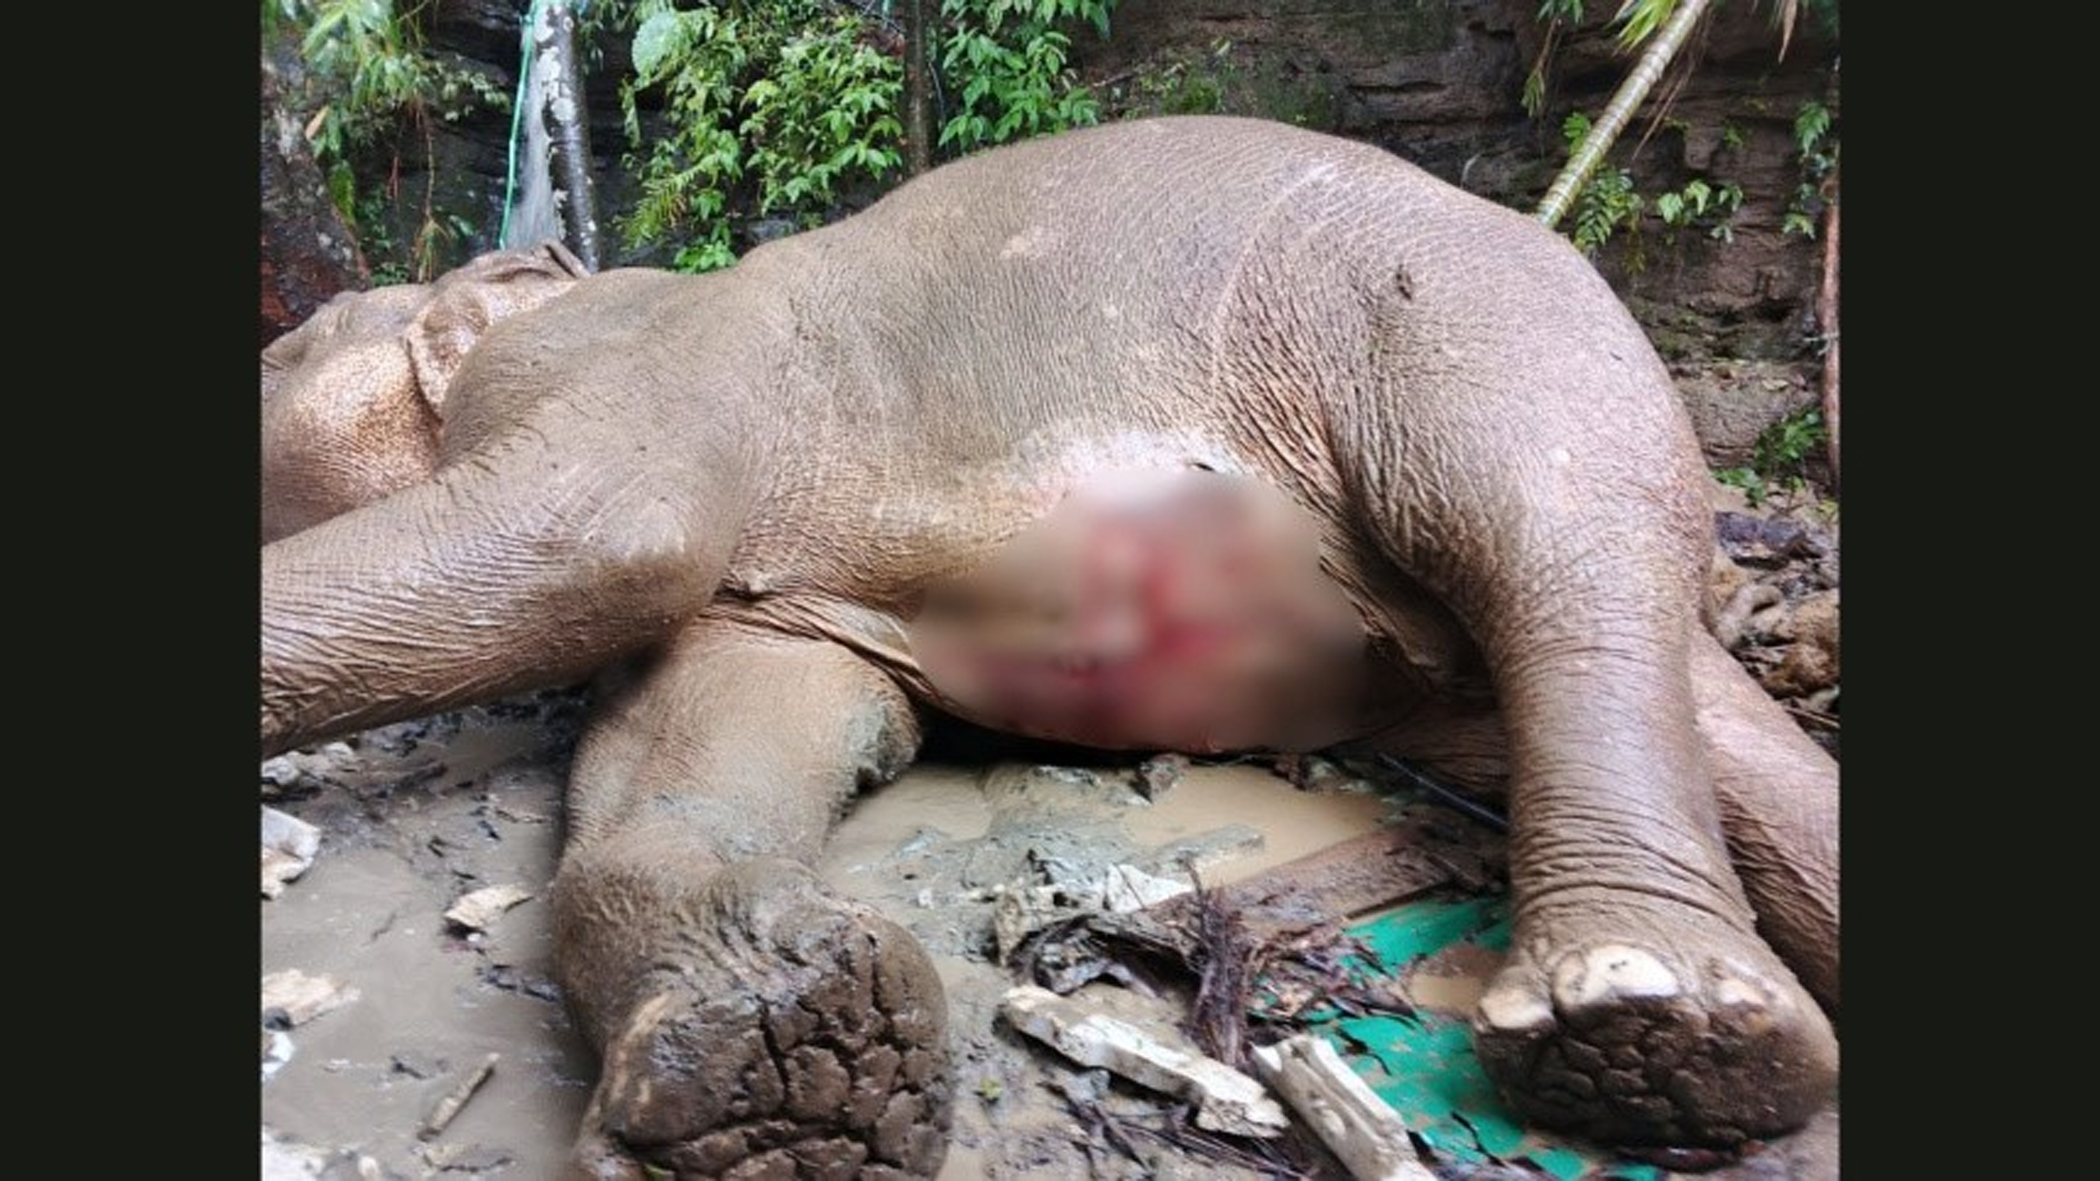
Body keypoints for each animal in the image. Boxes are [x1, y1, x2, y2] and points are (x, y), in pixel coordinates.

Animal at [260, 116, 1839, 1177]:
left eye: (283, 350)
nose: (267, 347)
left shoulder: (655, 353)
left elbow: (595, 539)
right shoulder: (768, 593)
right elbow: (702, 731)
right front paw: (792, 1073)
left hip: (1456, 306)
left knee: (1559, 538)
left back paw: (1659, 1019)